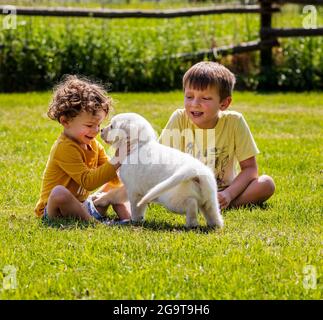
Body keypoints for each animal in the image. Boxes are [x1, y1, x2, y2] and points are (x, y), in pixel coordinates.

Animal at [95, 112, 224, 228]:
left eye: (112, 126)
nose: (101, 130)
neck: (138, 146)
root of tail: (196, 171)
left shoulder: (134, 191)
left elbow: (136, 207)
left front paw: (135, 220)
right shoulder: (129, 187)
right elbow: (114, 194)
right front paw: (99, 199)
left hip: (171, 198)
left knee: (191, 204)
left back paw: (191, 224)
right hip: (210, 200)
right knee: (213, 214)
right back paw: (215, 225)